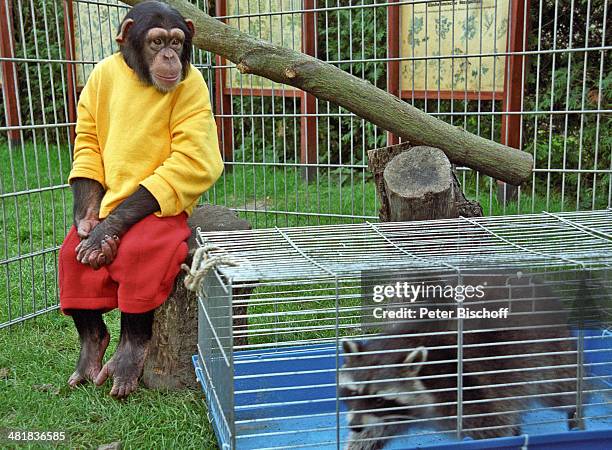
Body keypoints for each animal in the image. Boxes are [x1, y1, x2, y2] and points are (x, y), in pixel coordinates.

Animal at [58, 0, 222, 400]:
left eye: (177, 41)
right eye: (157, 41)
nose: (169, 55)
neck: (141, 79)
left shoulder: (195, 87)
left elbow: (190, 159)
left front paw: (103, 234)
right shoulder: (97, 79)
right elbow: (89, 142)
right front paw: (90, 226)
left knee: (141, 258)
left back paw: (128, 357)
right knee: (71, 264)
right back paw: (91, 352)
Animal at [340, 272, 580, 448]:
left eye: (379, 400)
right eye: (353, 393)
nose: (353, 425)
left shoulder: (465, 393)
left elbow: (494, 428)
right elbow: (371, 433)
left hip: (552, 355)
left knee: (566, 390)